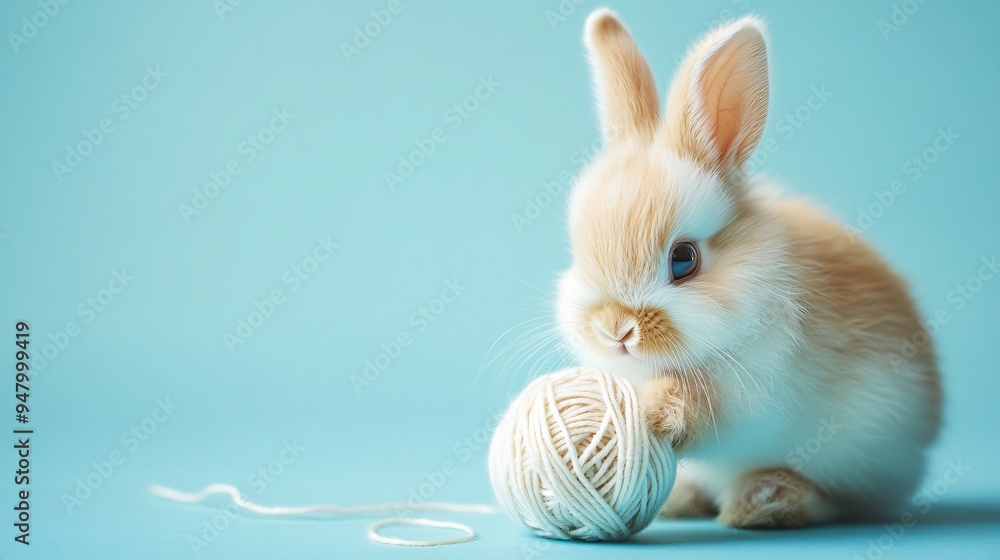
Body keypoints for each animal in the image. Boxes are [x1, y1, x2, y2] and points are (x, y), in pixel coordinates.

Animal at [555, 8, 942, 528]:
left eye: (683, 259)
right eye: (578, 254)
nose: (616, 330)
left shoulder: (747, 395)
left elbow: (701, 409)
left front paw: (651, 412)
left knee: (843, 502)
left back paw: (765, 501)